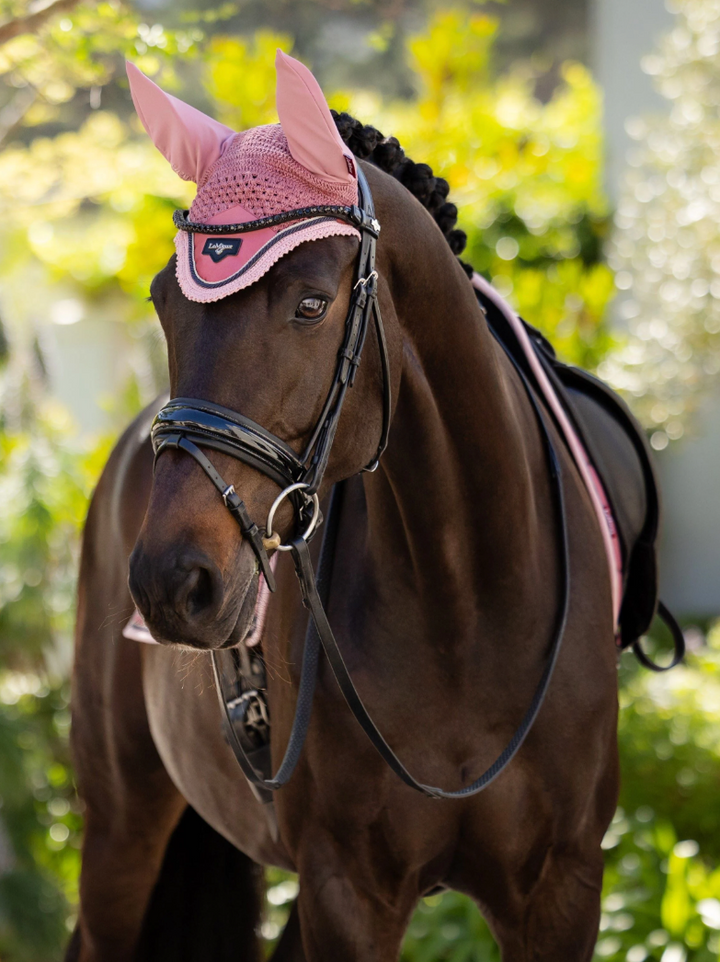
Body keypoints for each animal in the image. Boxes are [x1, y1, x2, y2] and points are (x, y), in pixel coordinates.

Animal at [66, 52, 632, 960]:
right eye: (162, 300)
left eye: (310, 304)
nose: (169, 583)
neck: (464, 601)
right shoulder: (348, 891)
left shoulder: (563, 891)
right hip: (121, 820)